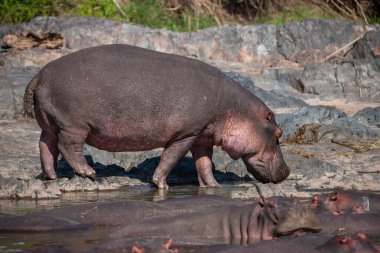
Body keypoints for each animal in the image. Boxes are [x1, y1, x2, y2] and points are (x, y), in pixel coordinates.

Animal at [23, 44, 290, 189]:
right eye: (278, 133)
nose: (287, 171)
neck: (234, 110)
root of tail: (39, 74)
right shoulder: (186, 134)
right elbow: (170, 158)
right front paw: (161, 184)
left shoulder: (202, 136)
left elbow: (204, 164)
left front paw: (213, 186)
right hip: (74, 126)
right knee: (68, 147)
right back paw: (88, 173)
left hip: (49, 123)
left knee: (45, 145)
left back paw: (52, 176)